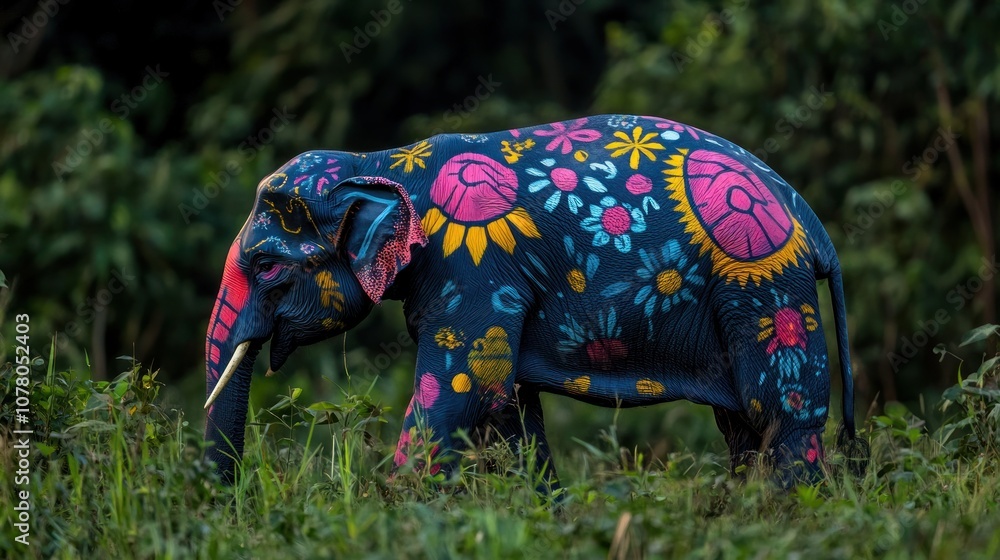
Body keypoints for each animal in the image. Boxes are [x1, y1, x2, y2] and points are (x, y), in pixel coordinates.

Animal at [202, 114, 869, 488]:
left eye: (266, 265)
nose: (231, 500)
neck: (384, 161)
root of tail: (810, 220)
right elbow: (508, 410)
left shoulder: (470, 265)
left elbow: (458, 397)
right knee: (742, 426)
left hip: (763, 289)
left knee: (779, 414)